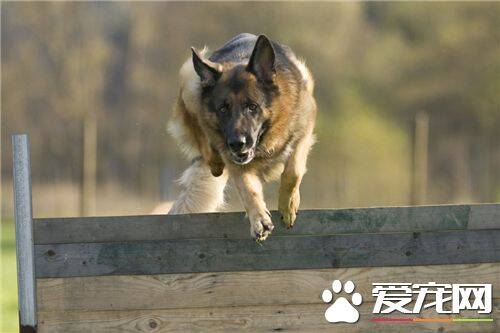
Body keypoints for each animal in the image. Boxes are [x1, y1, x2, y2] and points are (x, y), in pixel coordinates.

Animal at [168, 33, 316, 240]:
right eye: (223, 108)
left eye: (252, 106)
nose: (237, 144)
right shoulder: (237, 164)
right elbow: (248, 190)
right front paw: (259, 219)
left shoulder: (305, 127)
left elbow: (293, 171)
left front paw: (287, 204)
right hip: (190, 82)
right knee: (205, 142)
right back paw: (215, 161)